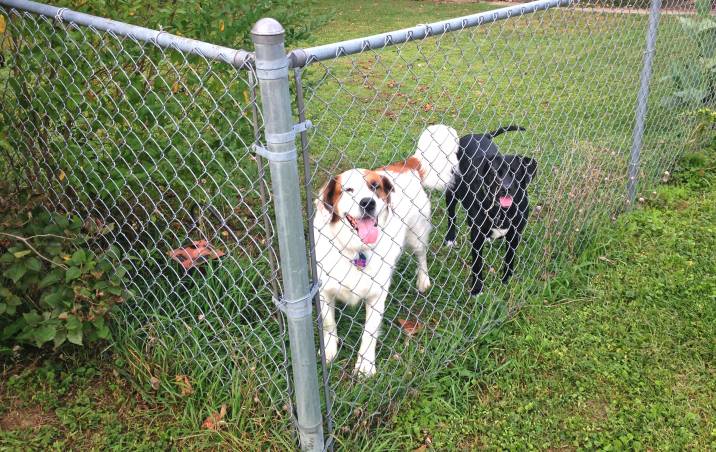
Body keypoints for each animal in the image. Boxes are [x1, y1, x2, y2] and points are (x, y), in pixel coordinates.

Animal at [312, 124, 458, 378]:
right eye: (348, 190)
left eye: (374, 187)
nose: (367, 202)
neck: (355, 249)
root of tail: (407, 165)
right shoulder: (324, 290)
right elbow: (329, 325)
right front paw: (329, 353)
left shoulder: (376, 295)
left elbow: (369, 333)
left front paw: (365, 365)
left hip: (416, 235)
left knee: (421, 256)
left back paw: (423, 280)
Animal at [448, 126, 536, 296]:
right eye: (495, 172)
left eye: (515, 172)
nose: (505, 188)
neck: (501, 211)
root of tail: (479, 135)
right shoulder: (477, 237)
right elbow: (477, 264)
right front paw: (477, 289)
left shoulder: (515, 234)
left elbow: (509, 259)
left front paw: (506, 280)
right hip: (452, 189)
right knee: (451, 215)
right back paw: (450, 238)